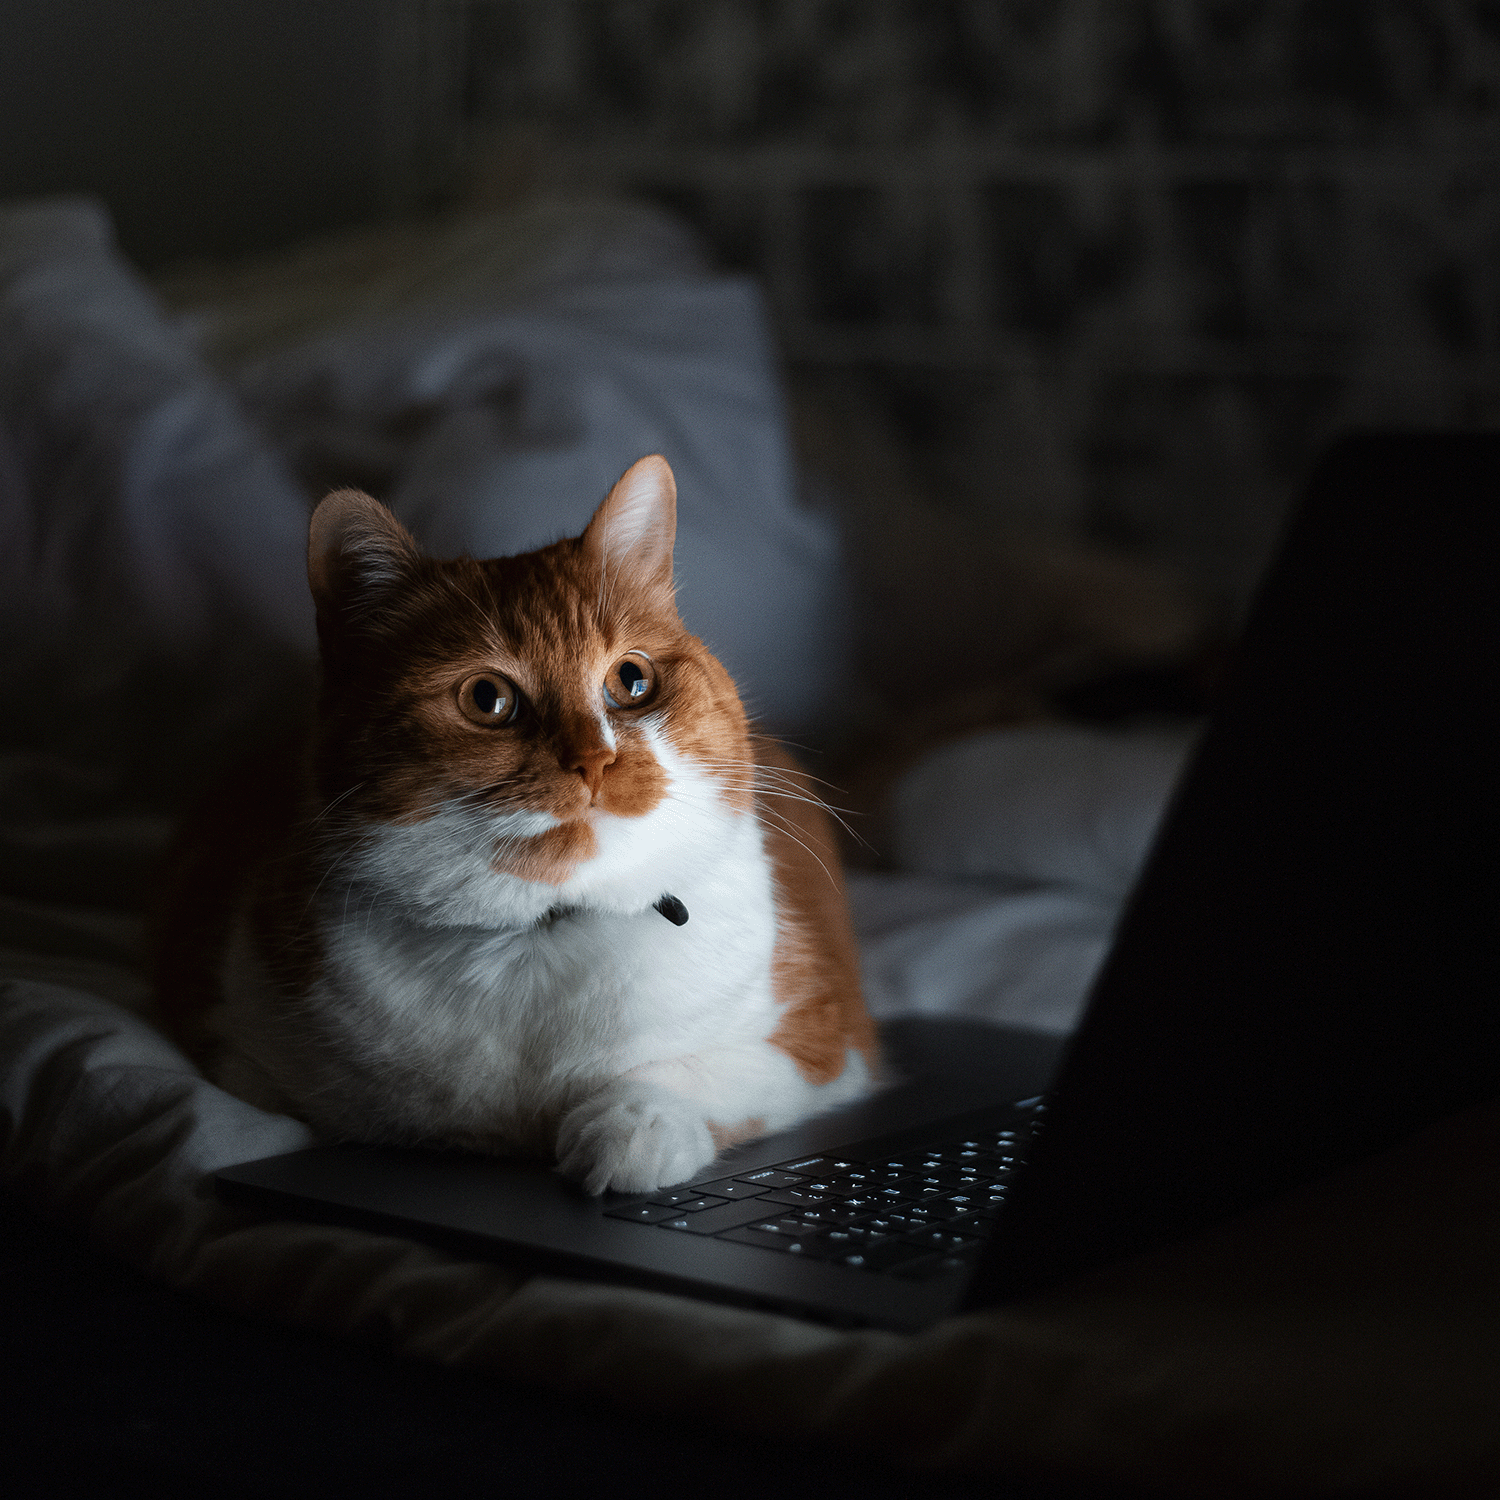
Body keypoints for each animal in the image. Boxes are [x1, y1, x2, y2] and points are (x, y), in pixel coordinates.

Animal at [158, 456, 876, 1194]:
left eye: (632, 680)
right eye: (487, 698)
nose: (595, 760)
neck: (541, 932)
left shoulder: (827, 1044)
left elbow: (698, 1072)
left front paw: (634, 1125)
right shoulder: (241, 1047)